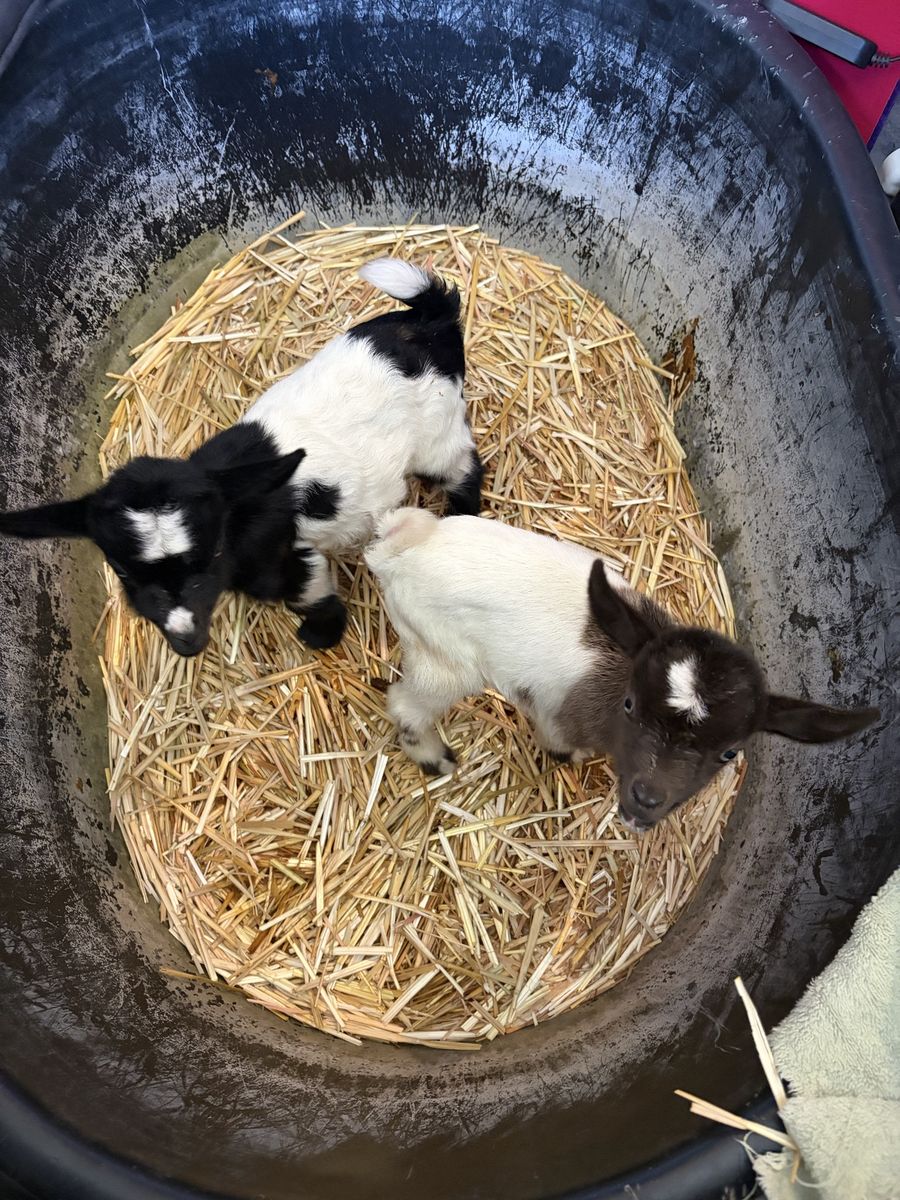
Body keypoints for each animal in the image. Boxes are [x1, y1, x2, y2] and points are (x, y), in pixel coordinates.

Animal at [0, 261, 483, 657]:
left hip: (437, 429)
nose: (187, 641)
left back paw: (462, 514)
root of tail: (428, 320)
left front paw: (322, 634)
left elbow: (306, 593)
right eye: (121, 569)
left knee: (464, 468)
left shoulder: (285, 556)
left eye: (211, 553)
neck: (237, 518)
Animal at [365, 509, 880, 831]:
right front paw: (569, 758)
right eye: (630, 705)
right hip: (441, 654)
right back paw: (434, 757)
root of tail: (397, 548)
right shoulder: (558, 716)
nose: (646, 801)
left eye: (730, 753)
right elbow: (556, 740)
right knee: (408, 704)